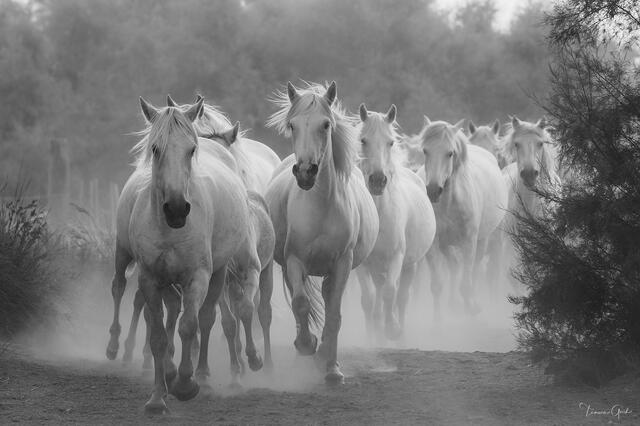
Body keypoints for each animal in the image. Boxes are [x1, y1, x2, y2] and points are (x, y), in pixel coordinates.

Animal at [105, 96, 250, 414]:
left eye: (191, 149)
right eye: (155, 148)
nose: (176, 209)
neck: (169, 229)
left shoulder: (197, 277)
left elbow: (188, 326)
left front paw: (185, 383)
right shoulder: (149, 278)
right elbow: (158, 335)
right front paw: (157, 397)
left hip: (217, 273)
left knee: (204, 317)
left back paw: (197, 375)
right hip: (124, 253)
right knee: (119, 287)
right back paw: (115, 346)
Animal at [265, 81, 379, 384]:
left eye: (326, 125)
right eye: (292, 125)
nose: (305, 172)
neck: (322, 207)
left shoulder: (342, 264)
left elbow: (335, 315)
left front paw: (331, 368)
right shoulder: (294, 261)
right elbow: (301, 304)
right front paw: (307, 345)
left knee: (328, 303)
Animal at [355, 103, 435, 341]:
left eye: (390, 142)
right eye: (363, 140)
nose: (378, 180)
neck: (380, 216)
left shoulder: (396, 258)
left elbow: (391, 293)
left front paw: (392, 329)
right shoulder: (362, 264)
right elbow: (369, 298)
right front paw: (373, 335)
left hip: (411, 265)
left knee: (402, 296)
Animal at [415, 118, 508, 317]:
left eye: (450, 153)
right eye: (425, 151)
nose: (433, 190)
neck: (448, 205)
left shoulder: (469, 242)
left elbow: (466, 284)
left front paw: (471, 310)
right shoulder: (434, 246)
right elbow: (437, 285)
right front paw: (438, 320)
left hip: (482, 241)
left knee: (474, 269)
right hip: (446, 245)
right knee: (455, 266)